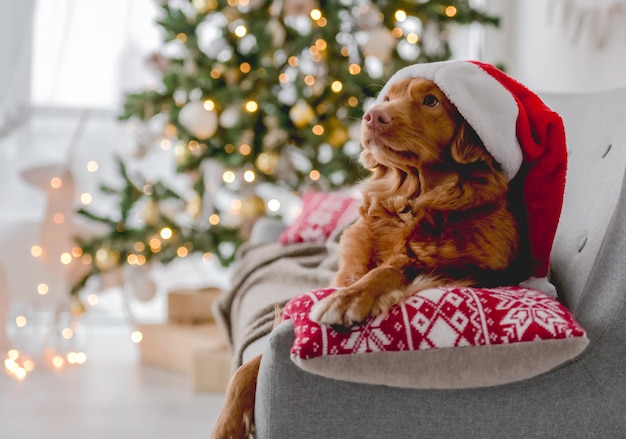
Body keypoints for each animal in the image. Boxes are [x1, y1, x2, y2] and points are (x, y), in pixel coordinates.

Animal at [212, 77, 524, 438]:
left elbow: (390, 270)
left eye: (431, 101)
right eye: (388, 98)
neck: (409, 199)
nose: (372, 115)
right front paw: (230, 420)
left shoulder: (474, 272)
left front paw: (350, 299)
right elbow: (251, 364)